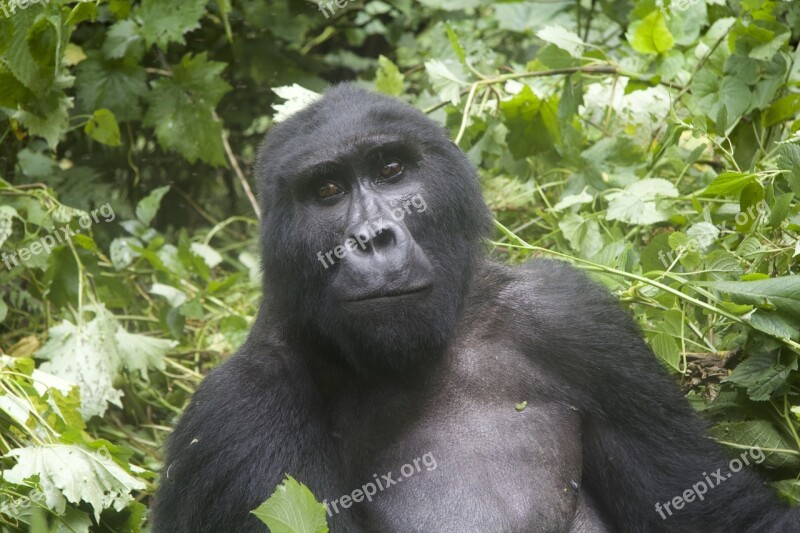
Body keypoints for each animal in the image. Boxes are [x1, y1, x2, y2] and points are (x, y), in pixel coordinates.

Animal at [152, 85, 800, 528]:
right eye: (327, 191)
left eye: (391, 170)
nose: (371, 238)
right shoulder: (233, 419)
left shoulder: (573, 318)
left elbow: (715, 511)